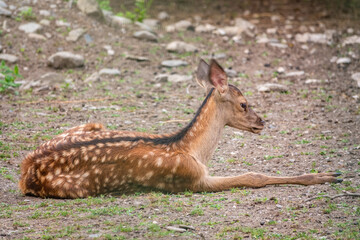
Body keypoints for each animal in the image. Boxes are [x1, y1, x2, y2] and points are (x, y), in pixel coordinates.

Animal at [19, 59, 340, 198]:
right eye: (244, 104)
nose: (262, 122)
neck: (193, 150)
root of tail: (25, 169)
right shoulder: (192, 181)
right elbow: (254, 176)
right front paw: (326, 176)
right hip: (77, 189)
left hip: (91, 123)